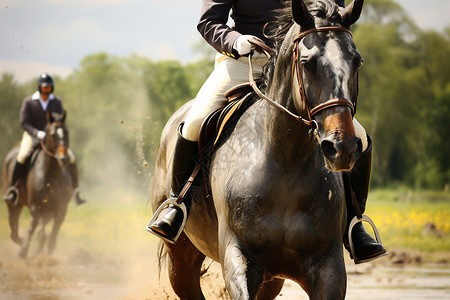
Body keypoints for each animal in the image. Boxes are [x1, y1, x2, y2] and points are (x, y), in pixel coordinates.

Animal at [2, 110, 73, 258]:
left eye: (67, 132)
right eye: (53, 134)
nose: (64, 159)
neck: (51, 175)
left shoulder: (61, 208)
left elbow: (53, 232)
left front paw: (46, 253)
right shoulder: (36, 206)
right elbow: (32, 226)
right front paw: (24, 250)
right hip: (13, 203)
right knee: (14, 228)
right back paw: (22, 243)